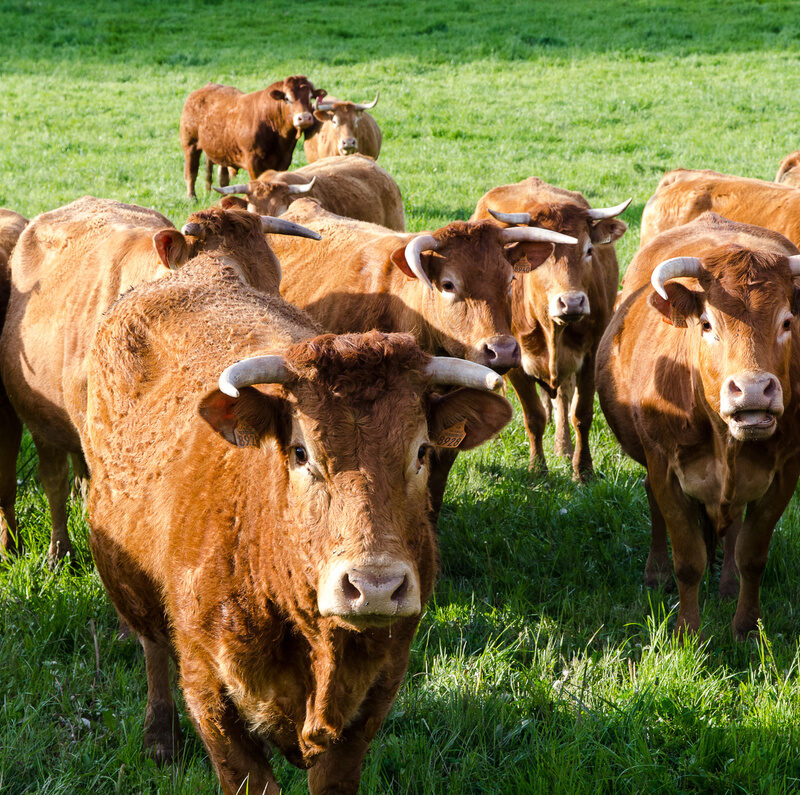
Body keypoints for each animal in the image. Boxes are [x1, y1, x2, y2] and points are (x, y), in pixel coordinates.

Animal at [83, 234, 512, 792]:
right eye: (300, 452)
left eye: (422, 451)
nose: (375, 586)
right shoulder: (209, 690)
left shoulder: (374, 694)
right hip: (127, 577)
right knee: (153, 647)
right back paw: (160, 736)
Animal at [180, 75, 326, 199]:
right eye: (287, 98)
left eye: (310, 97)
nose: (304, 118)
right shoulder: (253, 161)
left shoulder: (285, 159)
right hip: (190, 144)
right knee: (191, 172)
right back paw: (192, 198)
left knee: (221, 175)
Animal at [471, 177, 629, 481]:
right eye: (545, 255)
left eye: (588, 250)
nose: (572, 302)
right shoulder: (515, 362)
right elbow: (534, 416)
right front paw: (538, 469)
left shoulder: (590, 355)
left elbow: (581, 413)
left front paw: (583, 469)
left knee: (563, 399)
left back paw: (563, 447)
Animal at [596, 212, 800, 639]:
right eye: (707, 324)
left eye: (787, 322)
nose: (753, 390)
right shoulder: (665, 469)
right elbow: (688, 560)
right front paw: (687, 632)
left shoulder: (785, 474)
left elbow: (752, 555)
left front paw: (746, 628)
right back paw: (656, 573)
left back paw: (728, 585)